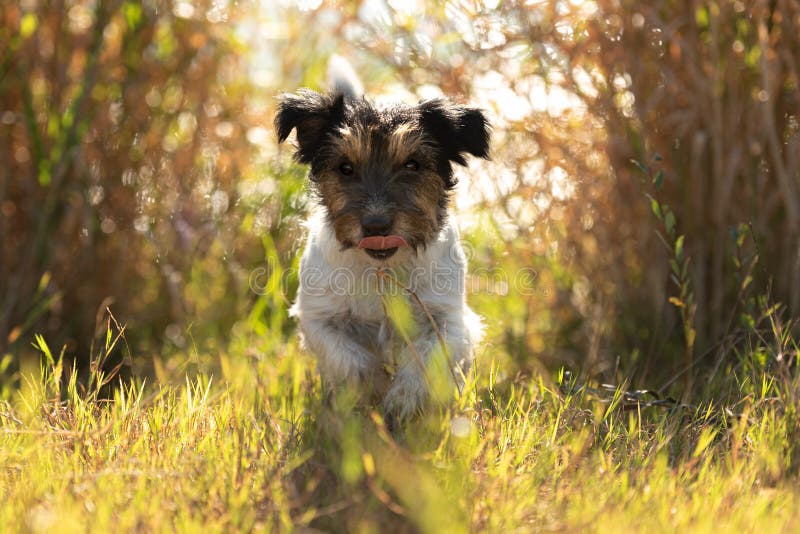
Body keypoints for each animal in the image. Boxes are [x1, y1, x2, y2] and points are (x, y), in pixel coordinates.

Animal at [274, 65, 488, 426]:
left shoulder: (448, 317)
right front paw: (373, 392)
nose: (376, 226)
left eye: (412, 164)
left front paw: (403, 402)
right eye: (345, 168)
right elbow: (350, 360)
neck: (381, 268)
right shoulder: (319, 317)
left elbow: (428, 356)